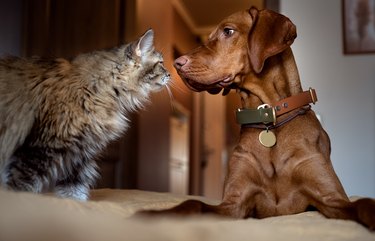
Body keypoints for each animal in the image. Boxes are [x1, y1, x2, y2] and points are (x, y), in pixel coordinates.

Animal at [0, 29, 170, 201]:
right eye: (161, 63)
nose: (170, 75)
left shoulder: (79, 155)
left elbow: (75, 194)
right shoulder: (40, 148)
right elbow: (21, 188)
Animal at [142, 7, 374, 230]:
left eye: (228, 31)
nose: (177, 63)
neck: (268, 119)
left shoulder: (331, 198)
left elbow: (364, 202)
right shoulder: (234, 204)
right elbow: (194, 203)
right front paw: (155, 215)